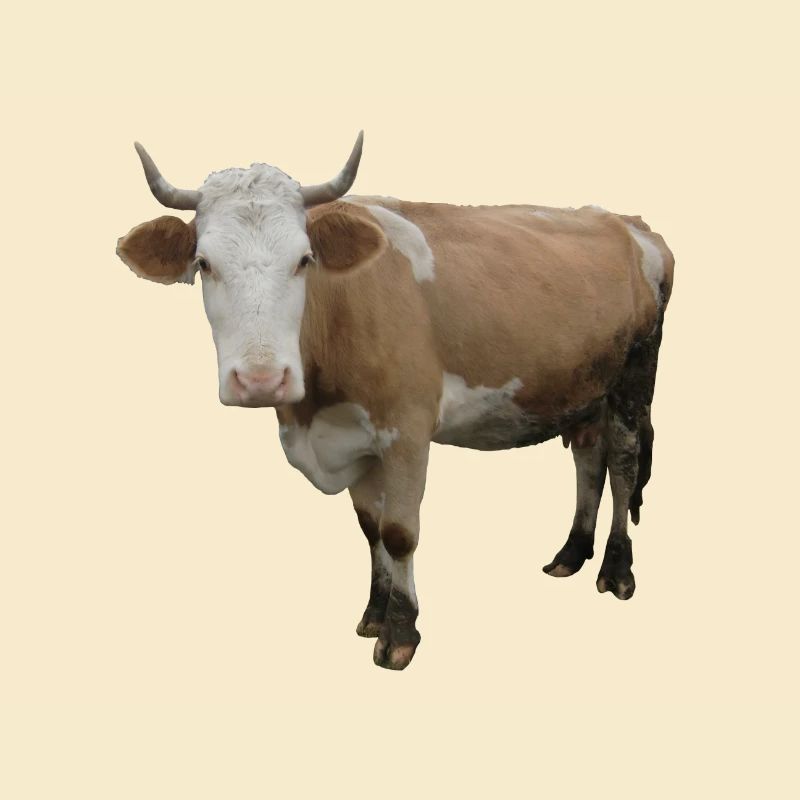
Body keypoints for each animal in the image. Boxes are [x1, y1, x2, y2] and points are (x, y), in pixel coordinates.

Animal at [116, 133, 674, 670]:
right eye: (204, 263)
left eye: (304, 260)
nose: (260, 380)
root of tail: (629, 223)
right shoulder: (352, 438)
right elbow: (372, 530)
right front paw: (374, 613)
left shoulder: (407, 429)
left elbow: (400, 532)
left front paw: (401, 635)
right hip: (582, 386)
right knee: (588, 460)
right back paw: (571, 554)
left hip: (634, 378)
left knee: (623, 466)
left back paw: (617, 571)